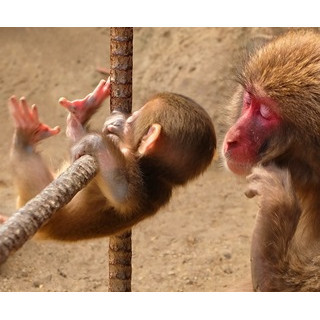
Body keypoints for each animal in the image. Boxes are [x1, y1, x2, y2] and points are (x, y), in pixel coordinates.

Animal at [8, 79, 218, 240]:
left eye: (132, 119)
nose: (123, 118)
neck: (157, 173)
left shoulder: (147, 185)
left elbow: (122, 195)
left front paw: (95, 142)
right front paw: (81, 114)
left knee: (26, 161)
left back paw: (24, 137)